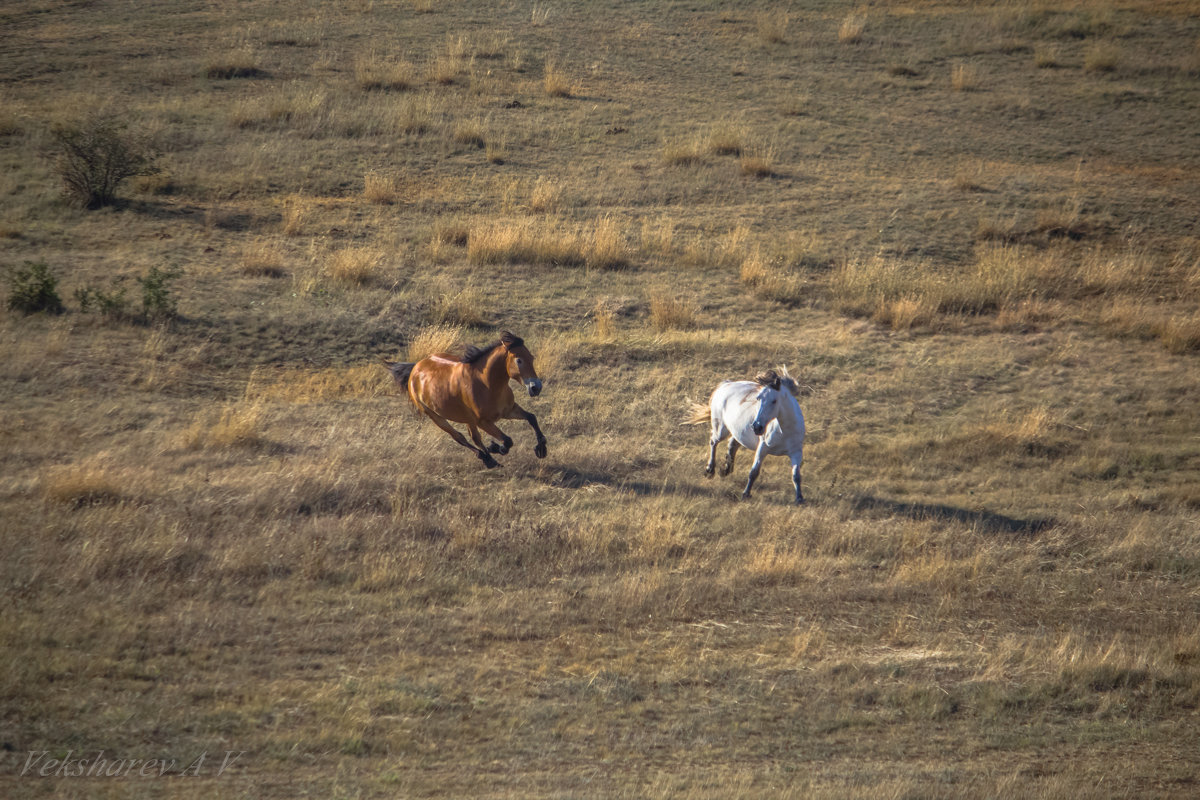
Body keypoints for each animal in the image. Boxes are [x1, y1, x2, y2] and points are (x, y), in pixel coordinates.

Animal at [384, 331, 549, 470]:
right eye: (519, 360)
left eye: (531, 358)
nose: (536, 387)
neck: (487, 384)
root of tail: (415, 368)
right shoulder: (483, 422)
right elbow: (507, 440)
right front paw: (497, 448)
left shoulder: (508, 410)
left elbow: (531, 418)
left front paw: (541, 449)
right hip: (435, 416)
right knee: (460, 437)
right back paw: (488, 459)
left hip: (467, 419)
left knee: (473, 437)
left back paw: (489, 456)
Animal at [691, 371, 801, 506]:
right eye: (758, 398)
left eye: (774, 401)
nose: (757, 427)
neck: (785, 430)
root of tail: (725, 385)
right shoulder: (762, 449)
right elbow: (754, 472)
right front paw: (745, 494)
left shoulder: (796, 452)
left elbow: (796, 475)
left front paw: (799, 498)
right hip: (721, 429)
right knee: (713, 442)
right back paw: (710, 470)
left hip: (738, 432)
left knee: (732, 444)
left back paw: (726, 470)